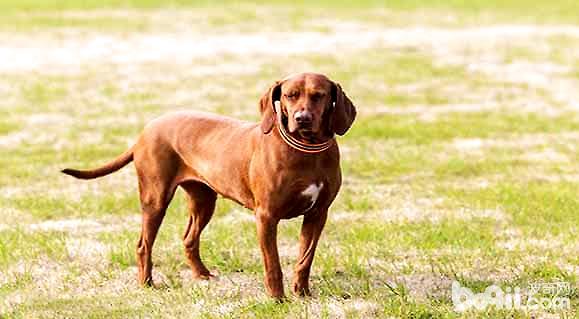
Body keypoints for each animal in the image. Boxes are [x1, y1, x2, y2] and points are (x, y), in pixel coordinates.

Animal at [61, 73, 356, 300]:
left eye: (318, 95)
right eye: (290, 95)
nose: (302, 118)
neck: (307, 150)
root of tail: (145, 131)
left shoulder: (318, 214)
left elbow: (305, 258)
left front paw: (302, 293)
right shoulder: (266, 217)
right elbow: (273, 264)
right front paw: (277, 299)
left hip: (204, 200)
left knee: (189, 238)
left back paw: (201, 275)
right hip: (155, 199)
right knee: (144, 244)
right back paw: (147, 284)